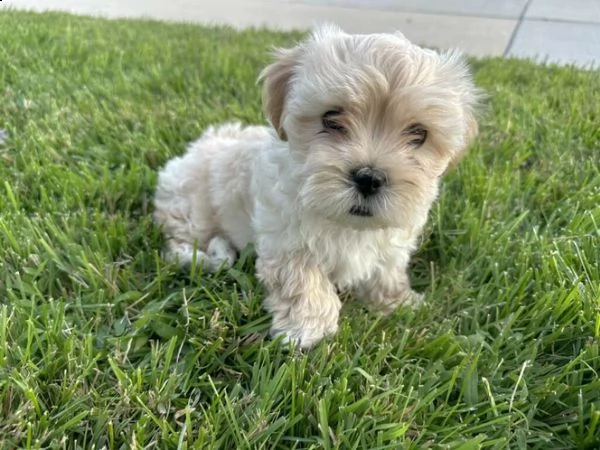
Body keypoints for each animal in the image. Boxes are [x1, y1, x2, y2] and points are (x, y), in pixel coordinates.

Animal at [154, 24, 478, 348]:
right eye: (331, 119)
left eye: (419, 134)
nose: (369, 177)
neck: (348, 225)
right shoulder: (286, 239)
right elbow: (303, 280)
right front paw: (307, 329)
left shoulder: (392, 240)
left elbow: (387, 271)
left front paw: (398, 303)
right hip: (191, 207)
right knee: (179, 245)